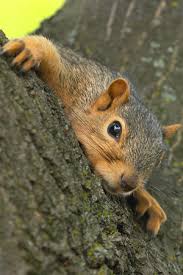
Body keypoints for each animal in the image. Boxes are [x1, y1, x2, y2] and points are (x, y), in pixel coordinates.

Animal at [0, 35, 181, 236]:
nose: (129, 183)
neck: (89, 94)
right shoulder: (72, 77)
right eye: (114, 129)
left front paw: (147, 199)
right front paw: (30, 48)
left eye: (158, 160)